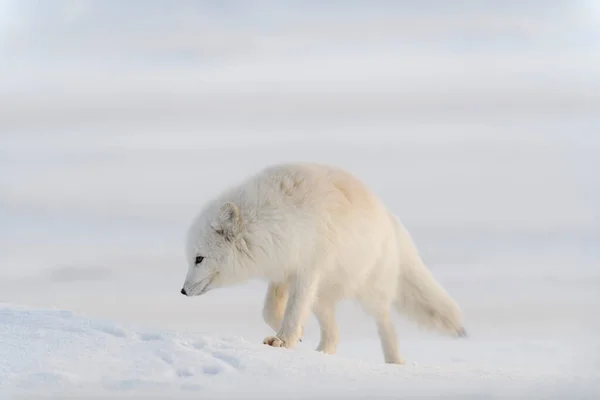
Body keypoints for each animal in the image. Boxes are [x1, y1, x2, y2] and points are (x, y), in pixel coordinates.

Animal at [180, 162, 466, 362]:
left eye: (199, 259)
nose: (182, 291)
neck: (269, 219)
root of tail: (389, 216)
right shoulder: (283, 269)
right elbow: (270, 310)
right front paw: (293, 336)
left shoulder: (307, 269)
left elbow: (293, 310)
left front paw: (283, 341)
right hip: (322, 297)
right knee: (334, 334)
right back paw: (322, 353)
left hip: (367, 291)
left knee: (386, 322)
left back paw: (395, 361)